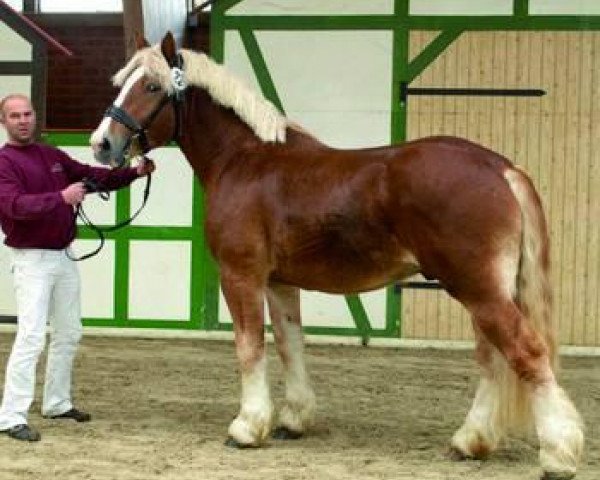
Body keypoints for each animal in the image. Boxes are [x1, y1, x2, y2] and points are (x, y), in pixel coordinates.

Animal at [91, 31, 584, 478]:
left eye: (150, 86)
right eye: (123, 82)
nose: (101, 144)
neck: (245, 160)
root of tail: (500, 168)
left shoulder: (240, 275)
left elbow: (250, 347)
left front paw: (247, 428)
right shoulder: (279, 282)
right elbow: (290, 344)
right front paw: (293, 421)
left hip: (479, 290)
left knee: (526, 353)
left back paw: (558, 455)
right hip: (484, 291)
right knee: (494, 359)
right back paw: (471, 441)